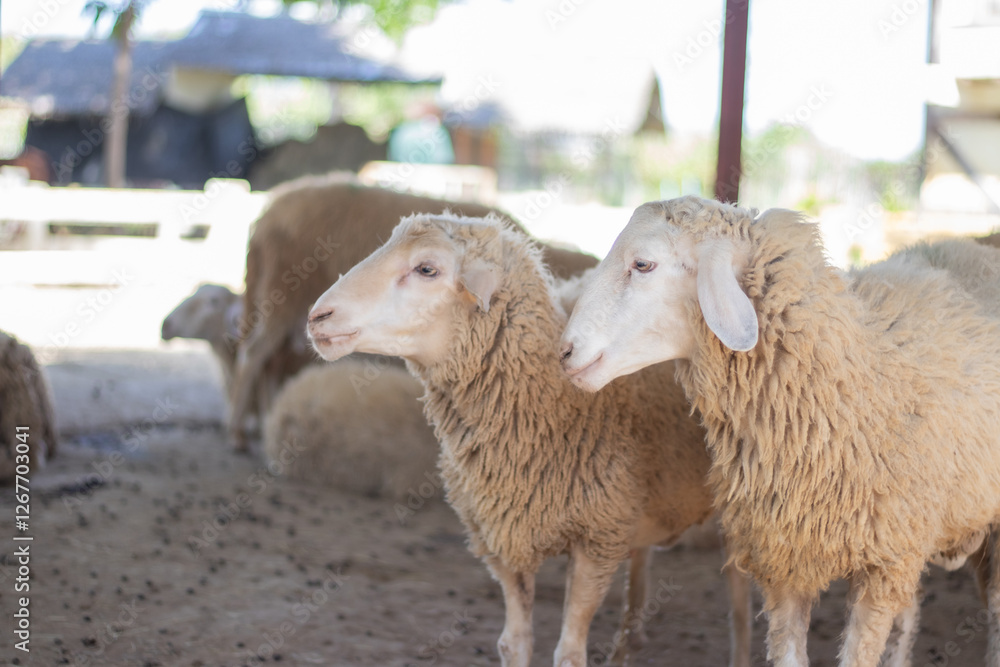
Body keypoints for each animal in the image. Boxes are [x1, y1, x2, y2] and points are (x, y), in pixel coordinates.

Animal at [228, 172, 598, 451]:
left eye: (426, 269)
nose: (320, 315)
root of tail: (267, 213)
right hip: (283, 293)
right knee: (253, 356)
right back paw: (240, 434)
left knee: (269, 361)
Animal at [305, 212, 751, 667]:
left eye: (426, 268)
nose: (317, 317)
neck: (556, 406)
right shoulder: (503, 541)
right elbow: (514, 642)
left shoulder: (596, 540)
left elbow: (568, 651)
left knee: (738, 596)